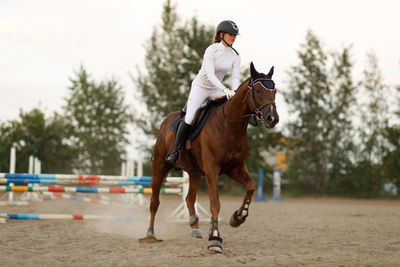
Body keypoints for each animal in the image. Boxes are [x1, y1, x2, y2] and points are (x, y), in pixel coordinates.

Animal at [139, 61, 280, 254]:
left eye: (275, 91)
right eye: (258, 91)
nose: (272, 118)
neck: (230, 126)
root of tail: (166, 121)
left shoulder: (235, 168)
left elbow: (251, 185)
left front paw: (238, 217)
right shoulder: (212, 170)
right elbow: (215, 203)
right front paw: (214, 238)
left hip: (195, 173)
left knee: (189, 198)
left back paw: (195, 227)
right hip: (160, 167)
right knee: (155, 201)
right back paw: (150, 234)